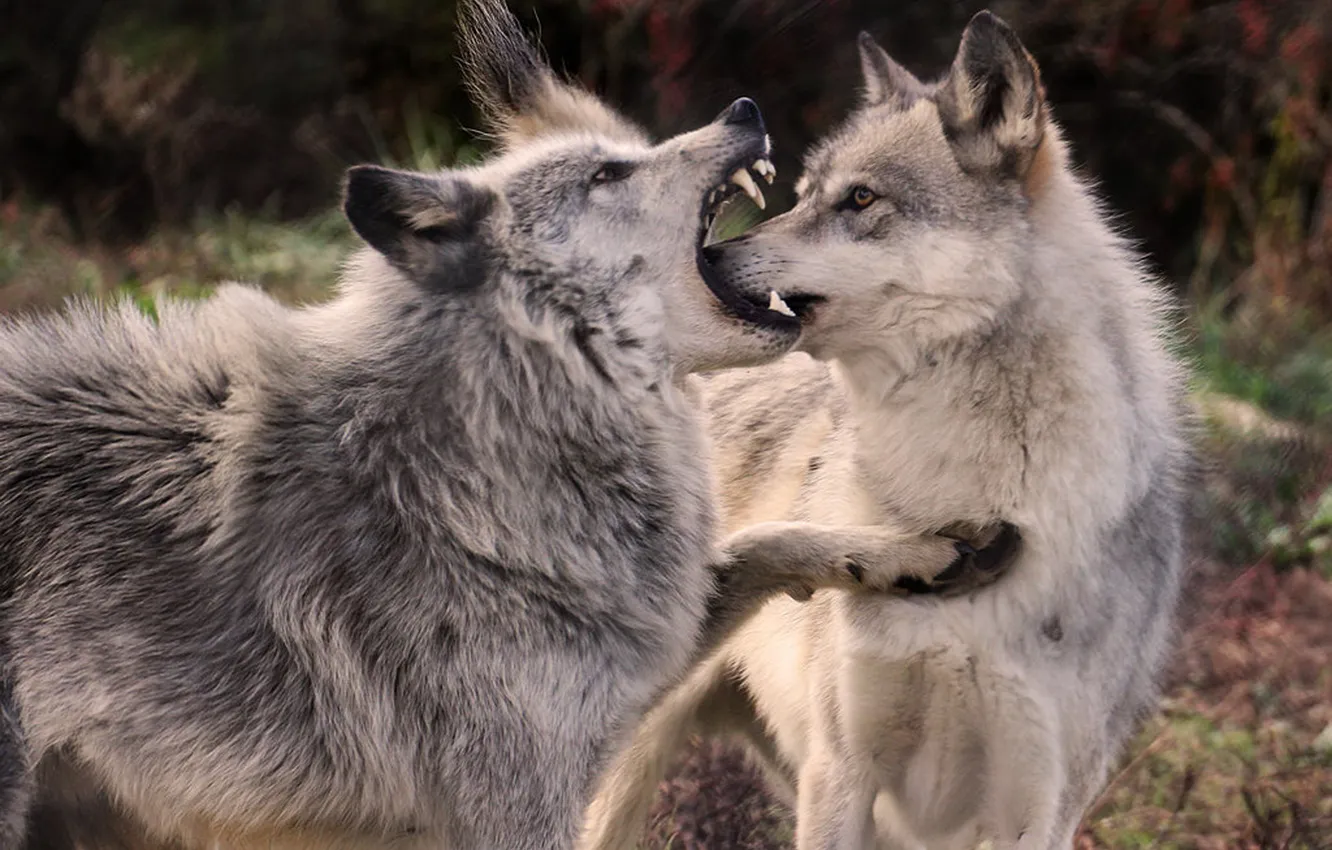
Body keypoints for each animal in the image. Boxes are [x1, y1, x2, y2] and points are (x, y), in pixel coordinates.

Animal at [0, 3, 987, 849]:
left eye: (626, 152)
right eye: (608, 174)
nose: (743, 108)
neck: (477, 458)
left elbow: (767, 538)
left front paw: (916, 552)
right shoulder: (517, 803)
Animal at [581, 11, 1192, 850]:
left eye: (861, 199)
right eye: (804, 196)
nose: (706, 256)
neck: (976, 490)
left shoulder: (1038, 810)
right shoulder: (842, 773)